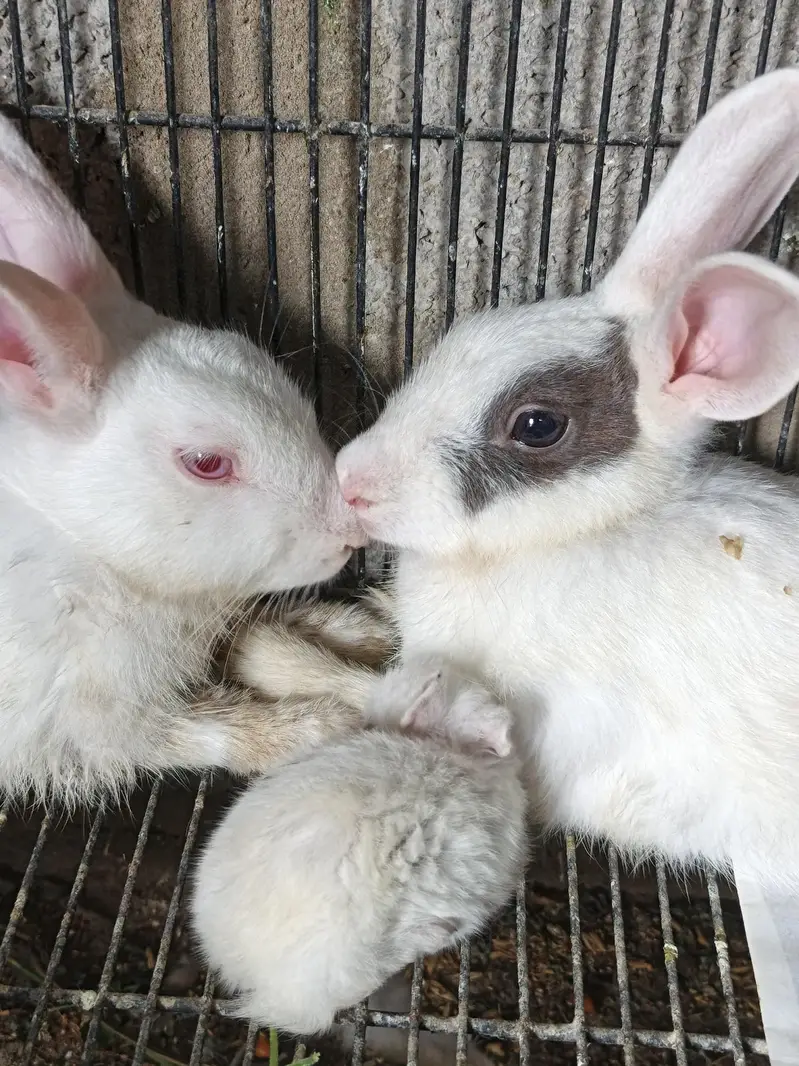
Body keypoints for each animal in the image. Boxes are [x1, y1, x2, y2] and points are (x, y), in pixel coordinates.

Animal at [0, 114, 368, 806]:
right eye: (206, 463)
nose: (349, 535)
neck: (85, 549)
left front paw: (347, 628)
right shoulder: (93, 718)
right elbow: (198, 730)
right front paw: (315, 726)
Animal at [233, 68, 799, 890]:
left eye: (536, 426)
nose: (352, 481)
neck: (572, 535)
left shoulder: (523, 726)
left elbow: (366, 690)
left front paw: (269, 654)